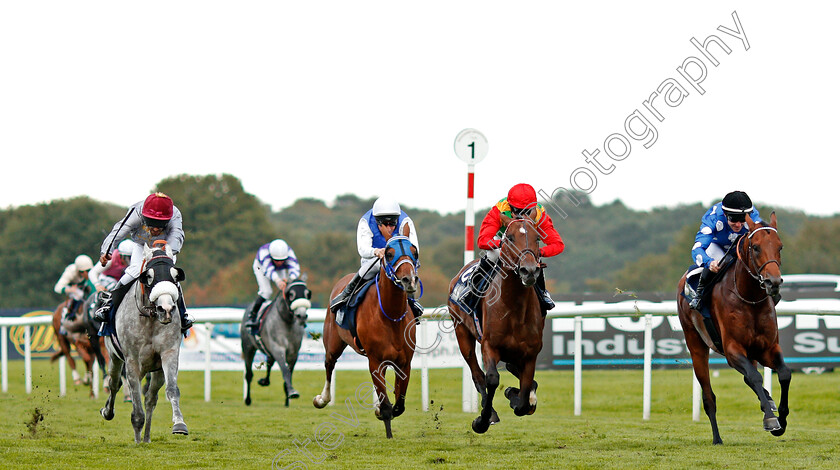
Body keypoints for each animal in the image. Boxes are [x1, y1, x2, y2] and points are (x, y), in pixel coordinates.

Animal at [99, 244, 188, 442]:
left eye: (175, 277)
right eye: (149, 276)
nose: (166, 309)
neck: (150, 318)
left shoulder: (169, 354)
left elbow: (172, 390)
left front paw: (179, 424)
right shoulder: (131, 360)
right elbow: (134, 401)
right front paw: (137, 436)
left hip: (155, 371)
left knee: (150, 399)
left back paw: (146, 437)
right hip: (115, 357)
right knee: (115, 383)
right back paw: (109, 412)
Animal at [241, 278, 310, 406]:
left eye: (307, 294)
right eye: (291, 294)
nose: (301, 316)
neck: (286, 321)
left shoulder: (293, 353)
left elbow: (289, 373)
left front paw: (287, 400)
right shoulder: (278, 349)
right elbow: (285, 371)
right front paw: (292, 392)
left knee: (269, 363)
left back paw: (265, 381)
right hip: (248, 348)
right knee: (248, 374)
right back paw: (248, 400)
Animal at [312, 224, 420, 436]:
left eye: (414, 251)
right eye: (389, 253)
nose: (408, 280)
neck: (391, 315)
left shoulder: (404, 363)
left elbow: (399, 404)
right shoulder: (375, 361)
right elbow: (387, 407)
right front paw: (388, 431)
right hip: (333, 343)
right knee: (329, 365)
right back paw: (322, 399)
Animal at [446, 213, 544, 434]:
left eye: (537, 238)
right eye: (510, 238)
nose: (529, 271)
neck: (514, 307)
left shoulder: (531, 353)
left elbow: (525, 394)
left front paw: (515, 396)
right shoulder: (489, 345)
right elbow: (491, 378)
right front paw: (482, 420)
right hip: (461, 332)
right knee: (477, 374)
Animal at [676, 212, 788, 444]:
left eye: (780, 246)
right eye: (756, 247)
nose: (773, 282)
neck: (750, 298)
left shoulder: (767, 348)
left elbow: (783, 373)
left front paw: (780, 420)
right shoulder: (732, 349)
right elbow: (755, 377)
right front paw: (771, 420)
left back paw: (768, 400)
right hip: (696, 345)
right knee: (709, 397)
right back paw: (717, 438)